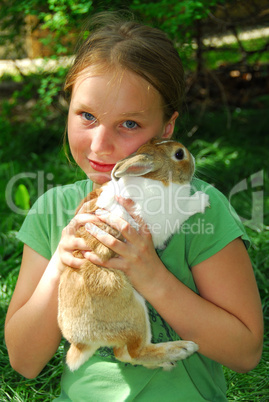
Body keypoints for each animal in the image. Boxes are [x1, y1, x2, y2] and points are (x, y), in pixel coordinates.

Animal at [57, 137, 209, 370]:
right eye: (179, 154)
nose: (192, 157)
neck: (158, 178)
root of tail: (81, 342)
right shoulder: (168, 217)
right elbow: (183, 209)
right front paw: (203, 199)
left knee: (124, 354)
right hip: (135, 310)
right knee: (133, 352)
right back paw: (181, 349)